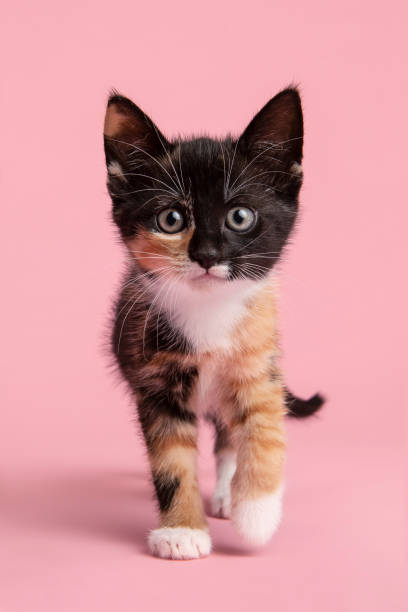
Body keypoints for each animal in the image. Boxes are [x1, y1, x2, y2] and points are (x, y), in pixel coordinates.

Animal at [103, 88, 324, 560]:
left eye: (240, 216)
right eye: (171, 219)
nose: (206, 255)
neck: (208, 313)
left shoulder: (261, 362)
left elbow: (263, 428)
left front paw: (256, 514)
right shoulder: (155, 384)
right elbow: (171, 463)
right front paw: (182, 530)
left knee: (228, 437)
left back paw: (228, 495)